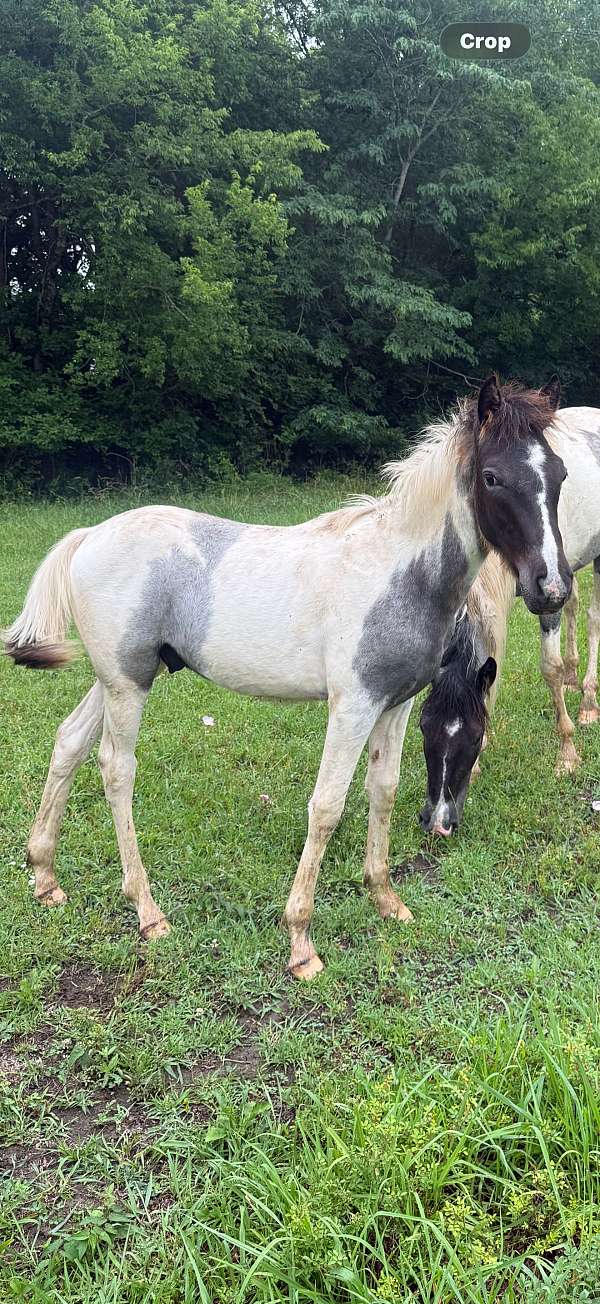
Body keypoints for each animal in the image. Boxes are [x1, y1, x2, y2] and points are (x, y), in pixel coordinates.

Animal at [3, 376, 571, 978]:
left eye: (559, 475)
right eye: (492, 477)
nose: (551, 588)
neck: (397, 573)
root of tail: (90, 535)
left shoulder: (395, 705)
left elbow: (384, 790)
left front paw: (386, 899)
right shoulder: (352, 706)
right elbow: (326, 806)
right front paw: (301, 941)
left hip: (121, 677)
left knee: (69, 741)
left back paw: (45, 877)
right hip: (127, 685)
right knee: (116, 767)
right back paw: (148, 911)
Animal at [419, 398, 600, 837]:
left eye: (471, 736)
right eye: (425, 728)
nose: (438, 824)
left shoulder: (546, 594)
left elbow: (549, 667)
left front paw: (567, 752)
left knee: (591, 616)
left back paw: (588, 700)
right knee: (575, 608)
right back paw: (574, 679)